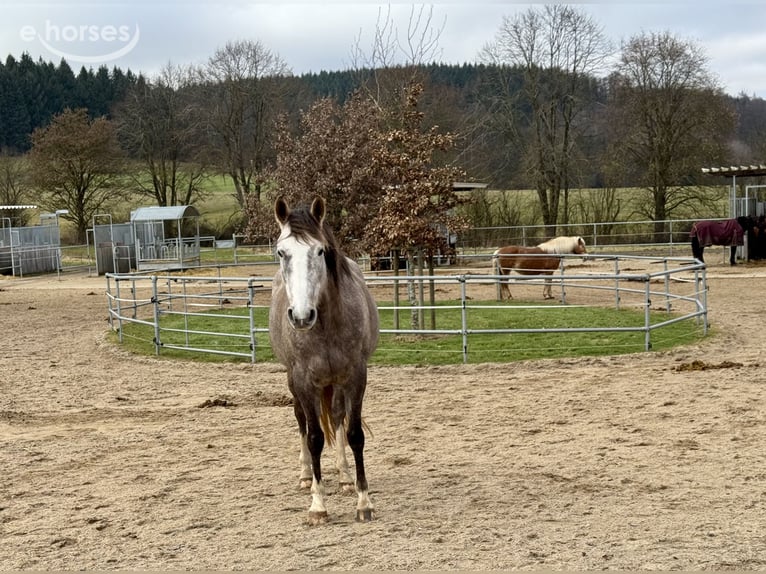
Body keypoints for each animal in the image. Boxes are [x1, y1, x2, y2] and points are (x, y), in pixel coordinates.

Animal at [269, 196, 379, 525]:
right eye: (281, 252)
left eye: (319, 251)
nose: (301, 316)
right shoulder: (304, 380)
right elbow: (315, 436)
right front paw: (318, 506)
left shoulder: (356, 376)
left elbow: (354, 434)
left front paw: (363, 501)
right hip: (294, 382)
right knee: (303, 421)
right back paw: (306, 475)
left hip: (336, 383)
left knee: (338, 415)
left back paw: (343, 476)